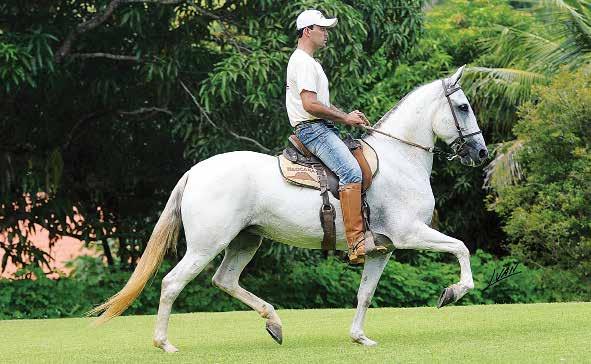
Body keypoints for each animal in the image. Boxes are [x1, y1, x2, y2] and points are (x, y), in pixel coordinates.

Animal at [91, 65, 490, 350]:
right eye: (463, 107)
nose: (481, 152)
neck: (399, 159)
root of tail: (194, 172)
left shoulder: (383, 249)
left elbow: (365, 293)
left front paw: (359, 337)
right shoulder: (410, 233)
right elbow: (461, 248)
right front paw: (453, 292)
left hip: (246, 240)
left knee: (225, 280)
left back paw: (274, 323)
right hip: (207, 244)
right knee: (173, 283)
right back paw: (164, 343)